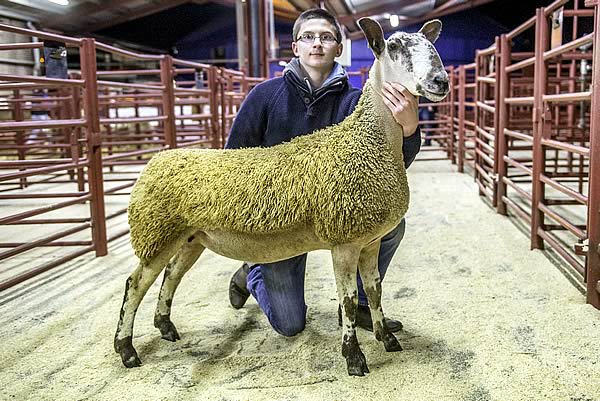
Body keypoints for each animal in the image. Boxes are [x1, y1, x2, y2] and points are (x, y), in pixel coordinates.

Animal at [115, 18, 448, 376]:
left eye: (431, 46)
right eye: (395, 46)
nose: (440, 81)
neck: (371, 143)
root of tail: (155, 161)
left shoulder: (370, 241)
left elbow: (374, 291)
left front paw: (386, 338)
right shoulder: (344, 241)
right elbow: (346, 301)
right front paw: (354, 358)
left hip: (190, 237)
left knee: (171, 274)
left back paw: (165, 326)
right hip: (157, 232)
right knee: (135, 284)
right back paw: (126, 350)